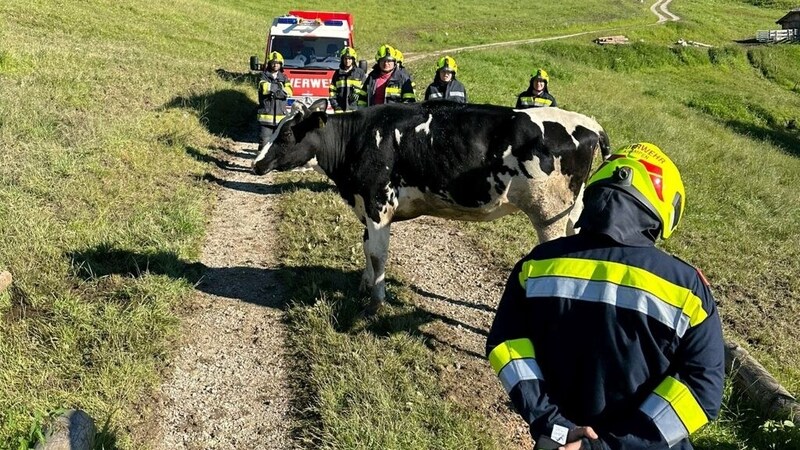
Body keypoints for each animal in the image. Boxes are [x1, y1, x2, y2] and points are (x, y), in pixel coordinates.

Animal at [253, 98, 608, 310]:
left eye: (287, 135)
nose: (257, 164)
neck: (359, 138)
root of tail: (589, 123)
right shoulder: (365, 204)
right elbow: (366, 248)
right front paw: (364, 285)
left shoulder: (379, 202)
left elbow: (379, 254)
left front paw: (376, 302)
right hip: (572, 213)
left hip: (549, 213)